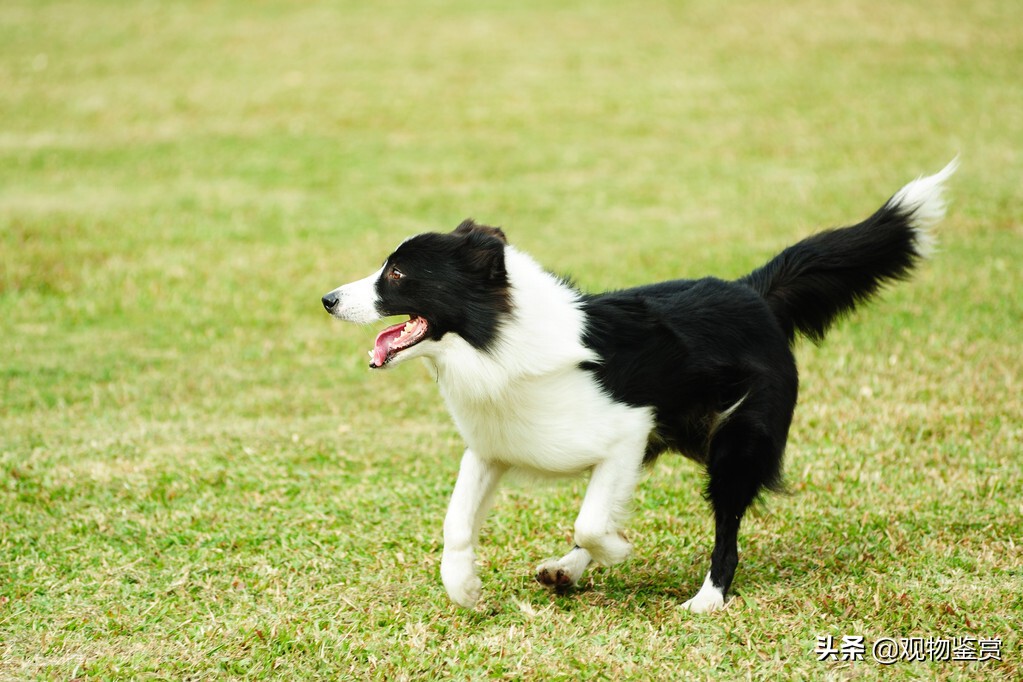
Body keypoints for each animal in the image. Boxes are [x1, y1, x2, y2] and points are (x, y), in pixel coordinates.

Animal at [321, 162, 957, 617]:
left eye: (398, 273)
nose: (327, 299)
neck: (495, 338)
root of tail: (752, 292)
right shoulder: (494, 447)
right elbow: (456, 523)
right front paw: (466, 589)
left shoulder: (627, 430)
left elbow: (591, 521)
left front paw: (620, 552)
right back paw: (567, 569)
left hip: (736, 443)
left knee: (726, 527)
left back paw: (706, 598)